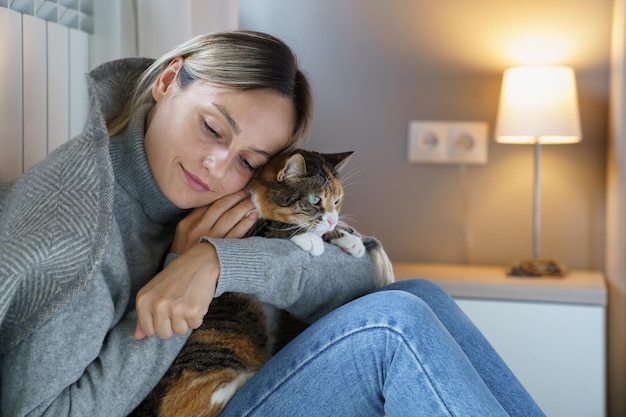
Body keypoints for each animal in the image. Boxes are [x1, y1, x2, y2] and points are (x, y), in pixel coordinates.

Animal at [129, 148, 392, 414]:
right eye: (315, 199)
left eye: (337, 201)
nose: (332, 219)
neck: (256, 194)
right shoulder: (241, 224)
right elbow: (272, 226)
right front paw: (310, 238)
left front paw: (348, 240)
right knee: (195, 404)